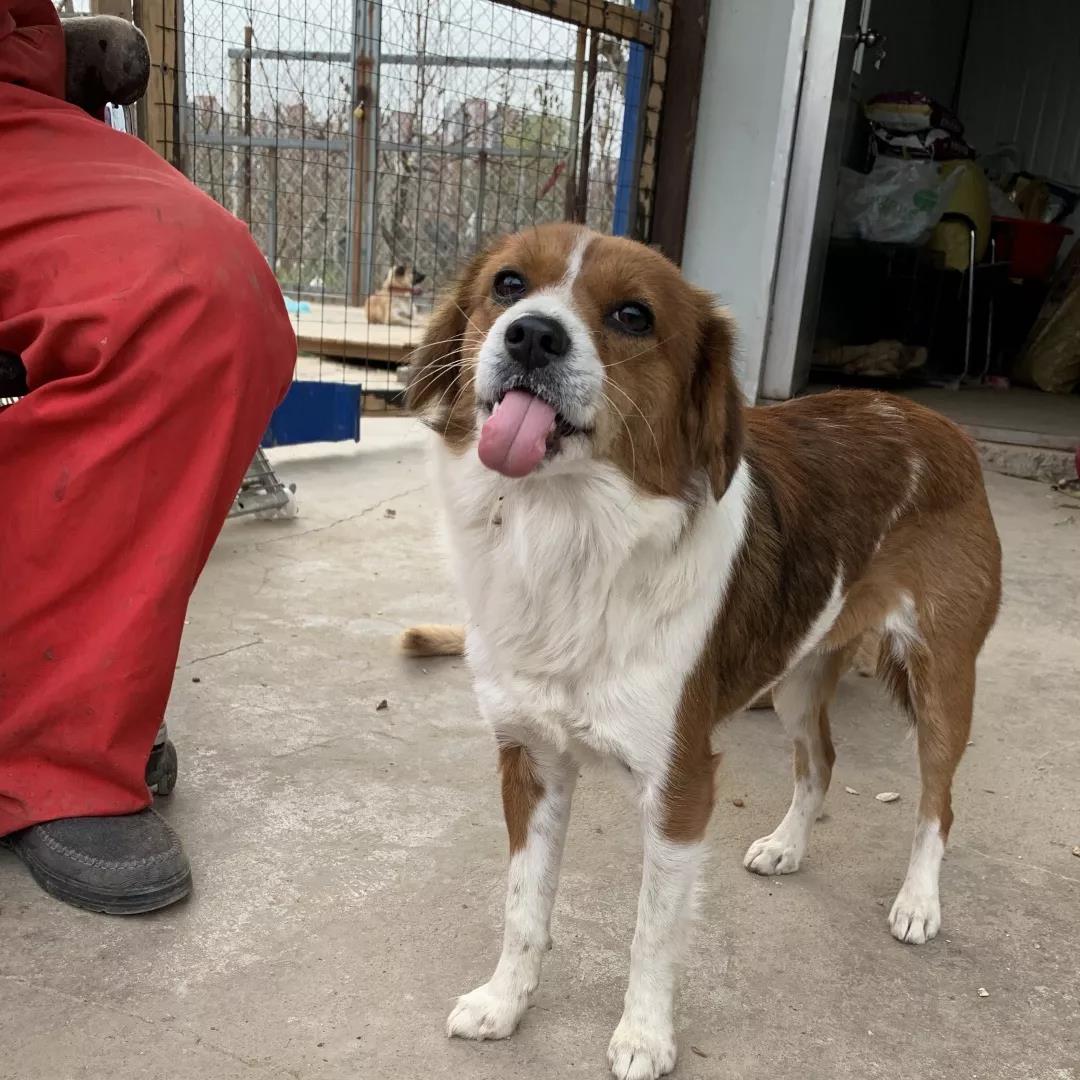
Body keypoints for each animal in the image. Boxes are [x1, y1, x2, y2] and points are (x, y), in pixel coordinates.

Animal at [405, 223, 1001, 1080]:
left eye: (633, 315)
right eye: (508, 284)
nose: (532, 335)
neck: (571, 537)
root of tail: (935, 423)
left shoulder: (678, 781)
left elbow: (652, 931)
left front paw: (645, 1036)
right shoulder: (532, 759)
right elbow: (523, 907)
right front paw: (504, 1002)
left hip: (941, 679)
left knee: (937, 799)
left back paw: (919, 901)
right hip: (795, 676)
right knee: (820, 760)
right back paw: (787, 846)